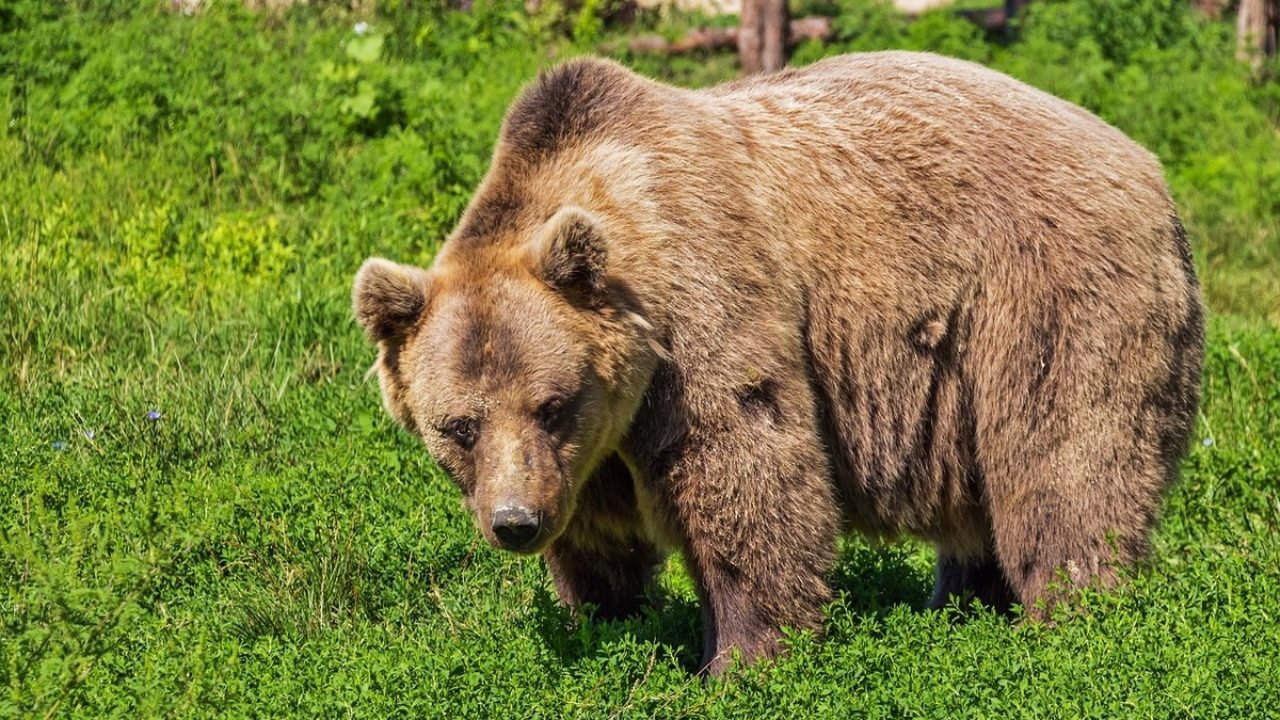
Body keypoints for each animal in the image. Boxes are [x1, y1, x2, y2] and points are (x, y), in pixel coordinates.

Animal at [355, 51, 1203, 671]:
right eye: (459, 426)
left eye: (552, 404)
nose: (515, 523)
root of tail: (1150, 168)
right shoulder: (591, 449)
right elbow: (597, 534)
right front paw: (601, 620)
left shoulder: (702, 315)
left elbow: (747, 472)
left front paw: (741, 659)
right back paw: (961, 606)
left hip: (1044, 295)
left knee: (1064, 460)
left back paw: (1073, 617)